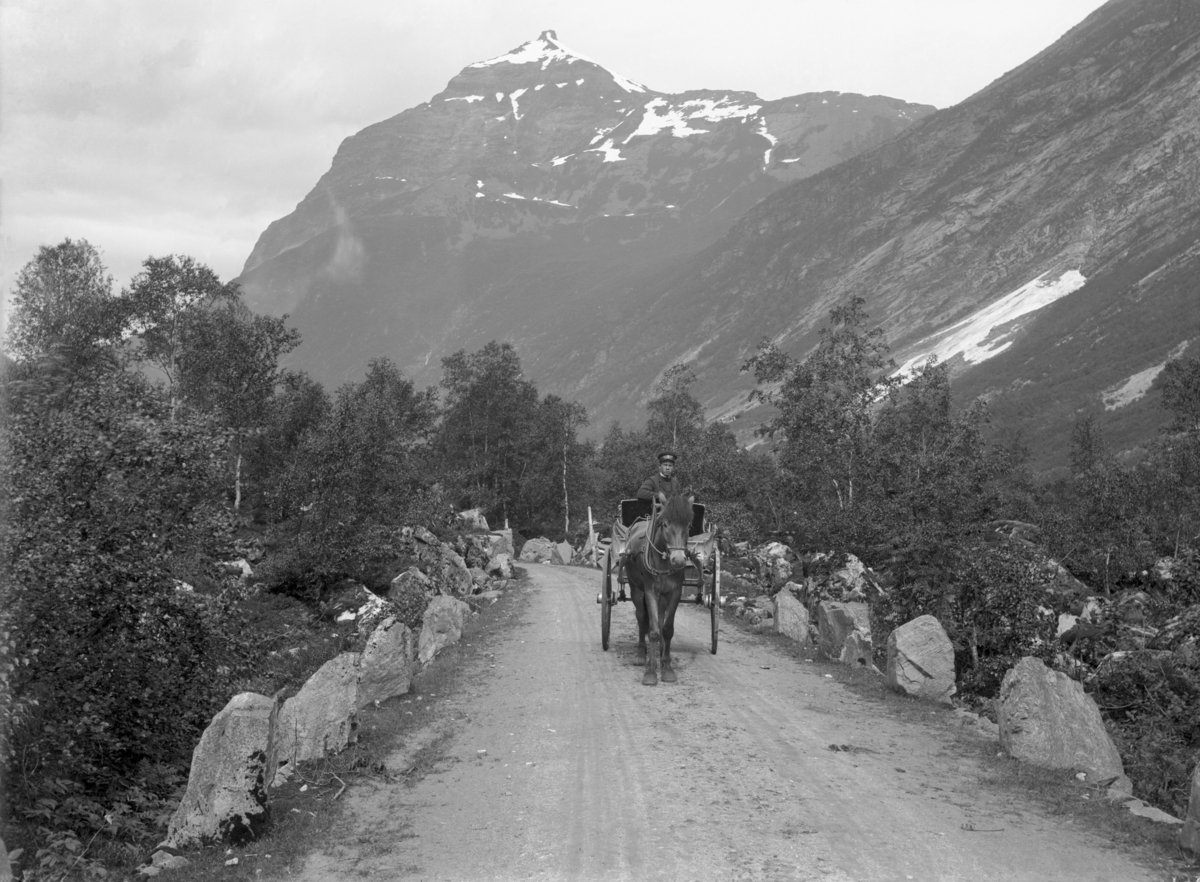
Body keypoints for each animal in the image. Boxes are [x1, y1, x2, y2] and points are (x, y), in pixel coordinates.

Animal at [628, 494, 696, 686]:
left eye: (689, 525)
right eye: (664, 524)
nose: (678, 560)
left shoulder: (674, 593)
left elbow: (666, 628)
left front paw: (667, 667)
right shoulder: (650, 591)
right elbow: (653, 631)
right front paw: (650, 672)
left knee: (659, 619)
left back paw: (660, 653)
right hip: (636, 589)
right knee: (641, 617)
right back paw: (641, 654)